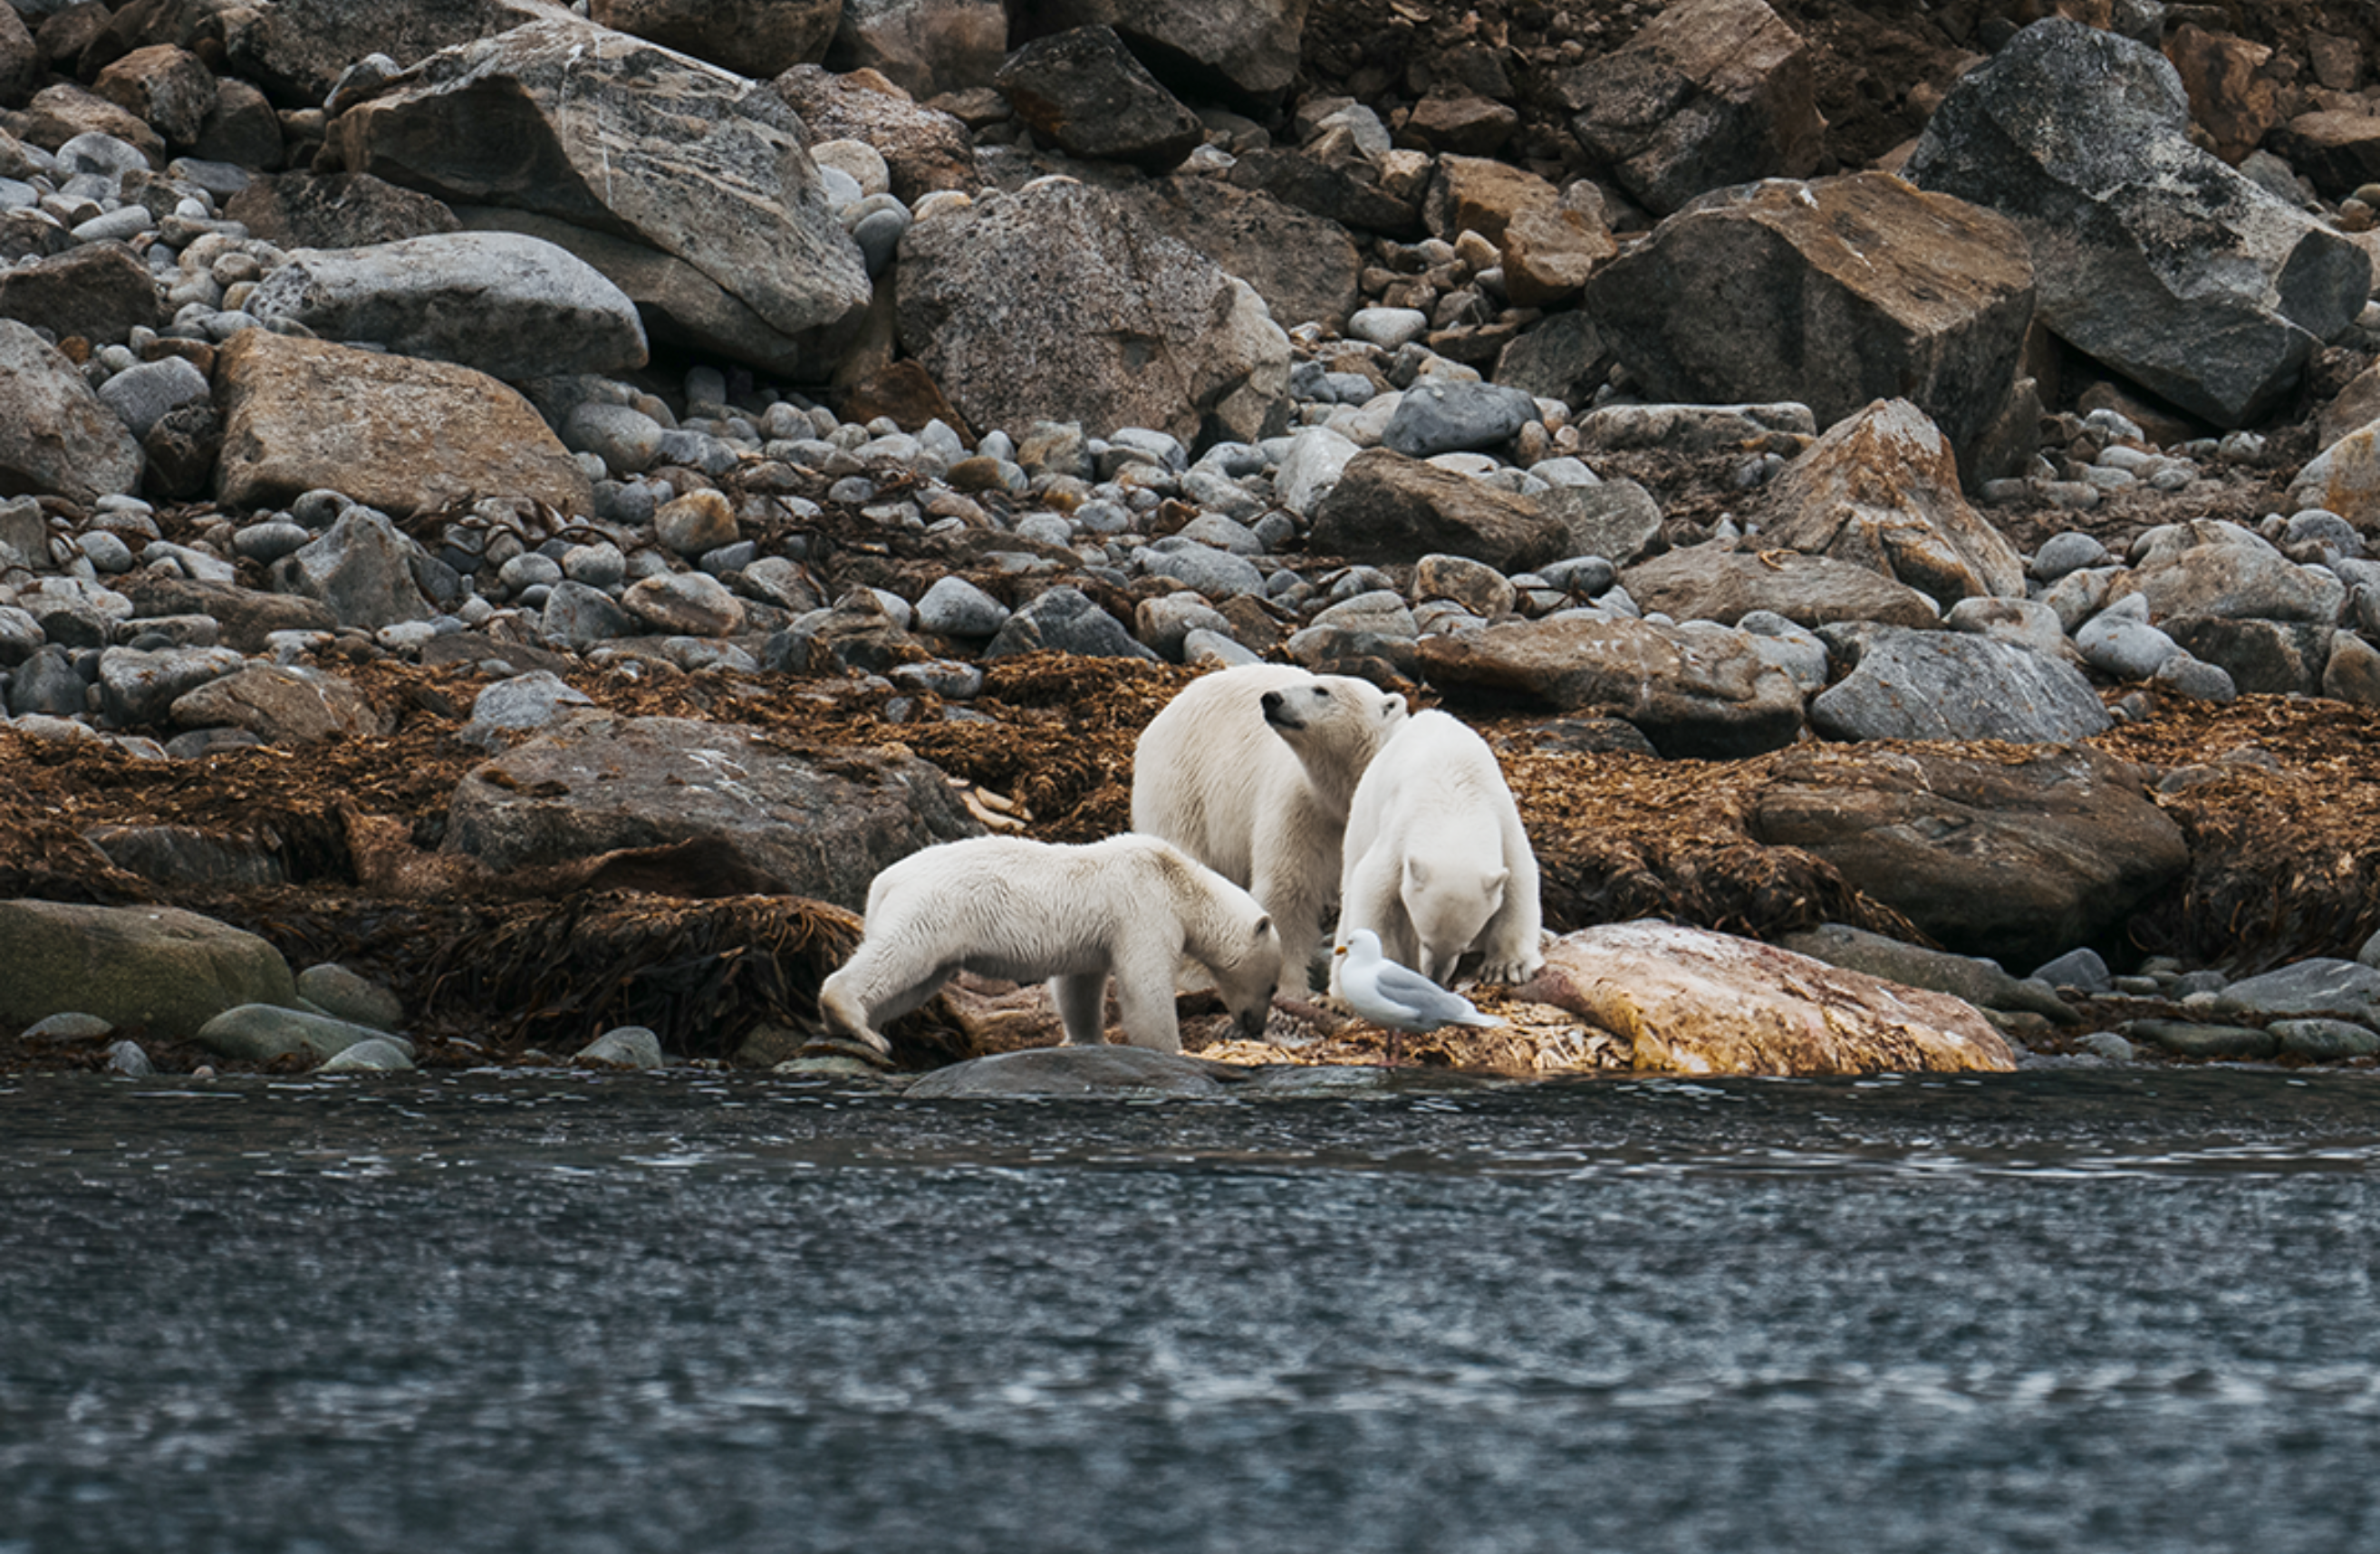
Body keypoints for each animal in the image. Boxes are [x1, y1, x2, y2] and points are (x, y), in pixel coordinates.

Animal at [817, 833, 1281, 1057]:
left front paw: (1092, 1040)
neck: (1179, 880)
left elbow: (1079, 986)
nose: (1255, 1026)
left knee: (916, 980)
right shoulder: (1145, 908)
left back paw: (867, 1027)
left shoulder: (1097, 938)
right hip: (934, 909)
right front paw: (1176, 1050)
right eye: (1273, 985)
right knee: (900, 956)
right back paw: (856, 1021)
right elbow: (1145, 983)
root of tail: (882, 881)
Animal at [1131, 663, 1407, 997]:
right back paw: (1199, 976)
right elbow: (1289, 889)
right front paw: (1292, 988)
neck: (1339, 800)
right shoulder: (1302, 809)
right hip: (1181, 786)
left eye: (1322, 690)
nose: (1271, 699)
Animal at [1332, 708, 1544, 992]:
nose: (1437, 977)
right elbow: (1374, 886)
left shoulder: (1502, 815)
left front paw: (1508, 967)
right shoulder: (1399, 829)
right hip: (1362, 820)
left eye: (1464, 945)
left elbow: (1520, 877)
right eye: (1426, 940)